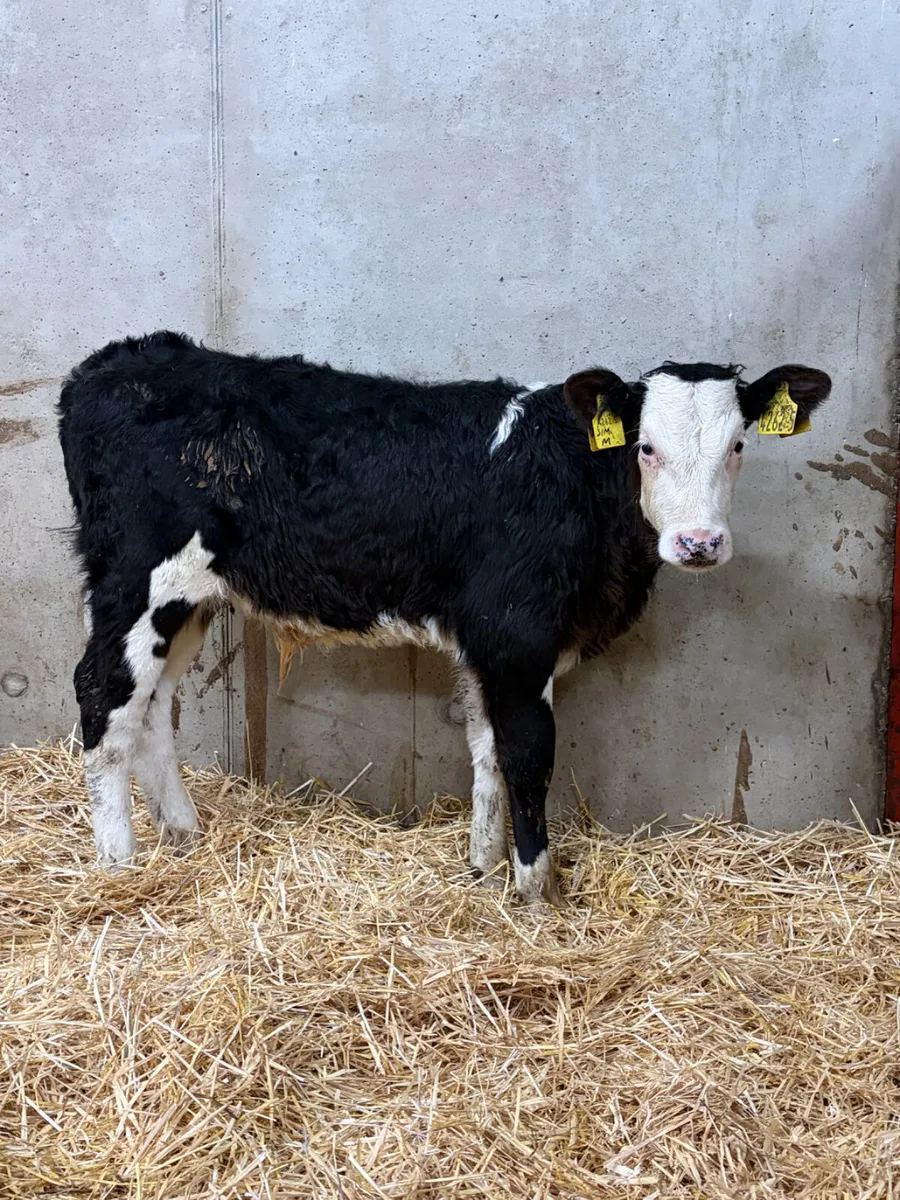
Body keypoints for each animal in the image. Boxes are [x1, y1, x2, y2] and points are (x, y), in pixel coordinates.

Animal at [57, 333, 831, 904]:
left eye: (738, 445)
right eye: (646, 446)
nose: (699, 543)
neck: (570, 480)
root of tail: (120, 360)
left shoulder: (490, 644)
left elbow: (486, 751)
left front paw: (482, 871)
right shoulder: (516, 635)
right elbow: (527, 756)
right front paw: (535, 892)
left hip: (188, 600)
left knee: (151, 708)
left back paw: (183, 838)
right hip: (137, 579)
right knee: (103, 695)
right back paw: (118, 867)